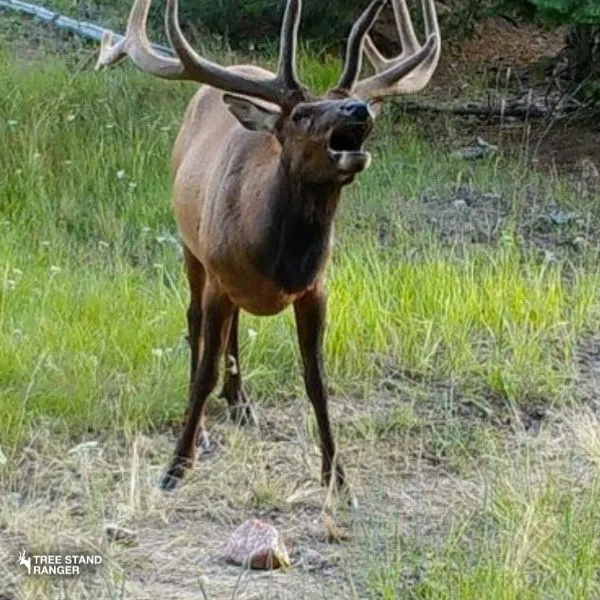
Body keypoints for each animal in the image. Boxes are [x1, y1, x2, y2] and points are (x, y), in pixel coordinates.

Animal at [96, 0, 438, 492]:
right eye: (301, 114)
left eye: (344, 101)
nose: (359, 109)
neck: (278, 261)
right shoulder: (218, 276)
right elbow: (205, 369)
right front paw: (176, 466)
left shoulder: (316, 287)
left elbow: (316, 379)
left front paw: (337, 476)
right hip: (191, 246)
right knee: (194, 320)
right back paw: (204, 417)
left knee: (233, 328)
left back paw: (240, 402)